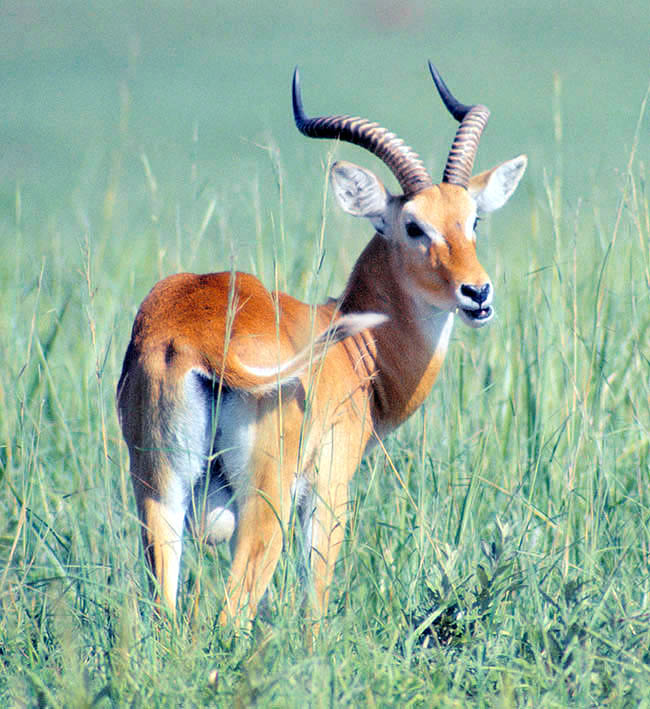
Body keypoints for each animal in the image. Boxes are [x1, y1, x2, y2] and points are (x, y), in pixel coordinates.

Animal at [116, 59, 528, 624]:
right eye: (413, 226)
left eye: (474, 220)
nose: (478, 293)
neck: (356, 353)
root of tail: (191, 338)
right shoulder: (328, 491)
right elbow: (315, 601)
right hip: (264, 505)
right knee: (233, 609)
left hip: (159, 498)